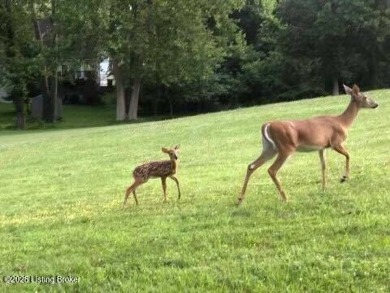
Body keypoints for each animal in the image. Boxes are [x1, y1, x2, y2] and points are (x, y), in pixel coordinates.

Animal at [238, 83, 378, 204]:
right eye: (365, 97)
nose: (376, 104)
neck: (343, 122)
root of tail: (267, 125)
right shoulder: (335, 142)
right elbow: (348, 155)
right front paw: (344, 178)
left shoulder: (322, 147)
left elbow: (324, 166)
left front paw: (324, 188)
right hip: (286, 147)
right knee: (271, 169)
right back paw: (285, 198)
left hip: (270, 148)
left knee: (251, 165)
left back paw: (240, 199)